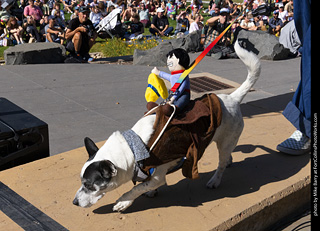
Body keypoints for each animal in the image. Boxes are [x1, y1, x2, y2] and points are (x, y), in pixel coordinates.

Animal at [74, 40, 262, 212]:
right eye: (82, 182)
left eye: (89, 185)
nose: (74, 202)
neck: (134, 147)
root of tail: (233, 98)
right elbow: (146, 185)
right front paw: (150, 192)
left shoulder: (158, 176)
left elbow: (137, 188)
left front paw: (123, 201)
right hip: (224, 141)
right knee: (227, 155)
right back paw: (229, 161)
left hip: (226, 141)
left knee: (221, 163)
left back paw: (215, 180)